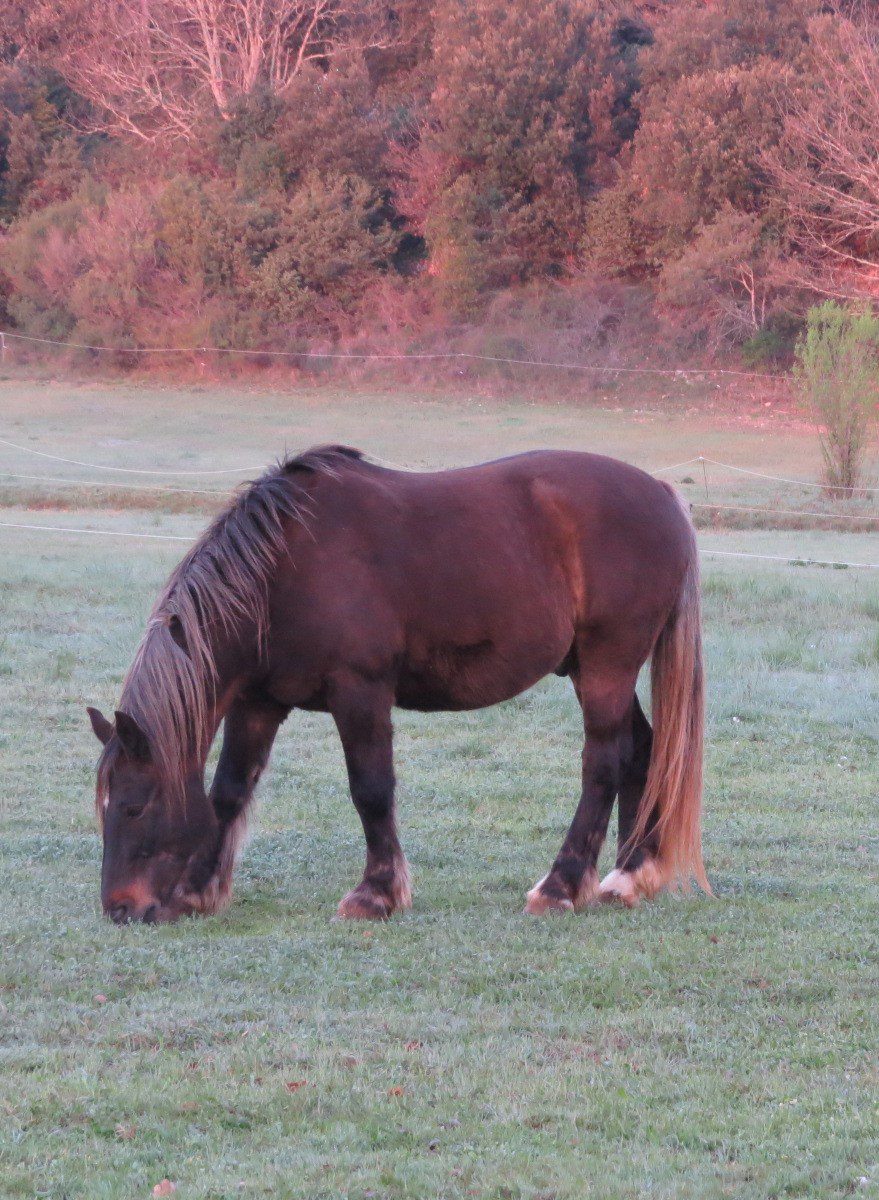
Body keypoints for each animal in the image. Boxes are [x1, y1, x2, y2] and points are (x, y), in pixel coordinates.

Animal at [87, 445, 708, 925]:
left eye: (135, 807)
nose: (119, 908)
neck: (284, 570)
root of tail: (660, 493)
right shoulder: (257, 702)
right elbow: (228, 791)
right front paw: (197, 890)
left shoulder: (359, 693)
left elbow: (371, 789)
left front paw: (376, 895)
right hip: (592, 669)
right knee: (645, 752)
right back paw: (627, 876)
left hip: (608, 666)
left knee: (604, 763)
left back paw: (560, 887)